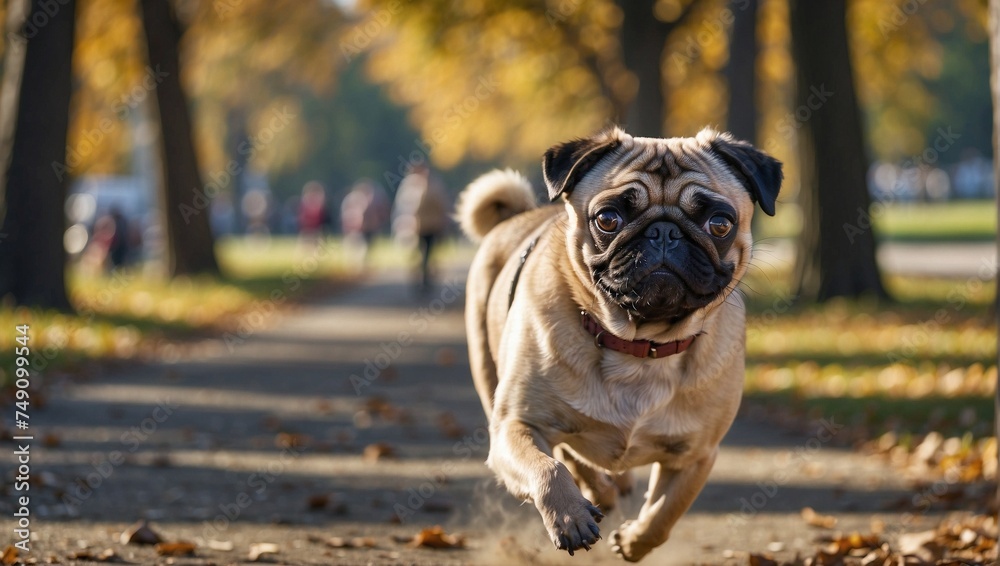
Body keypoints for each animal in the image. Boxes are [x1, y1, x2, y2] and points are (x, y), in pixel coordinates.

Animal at [458, 129, 784, 564]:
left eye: (719, 224)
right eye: (608, 219)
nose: (664, 232)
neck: (641, 346)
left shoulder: (696, 454)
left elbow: (666, 513)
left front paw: (633, 541)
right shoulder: (516, 425)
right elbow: (548, 469)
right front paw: (569, 516)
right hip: (487, 370)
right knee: (571, 457)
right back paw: (596, 495)